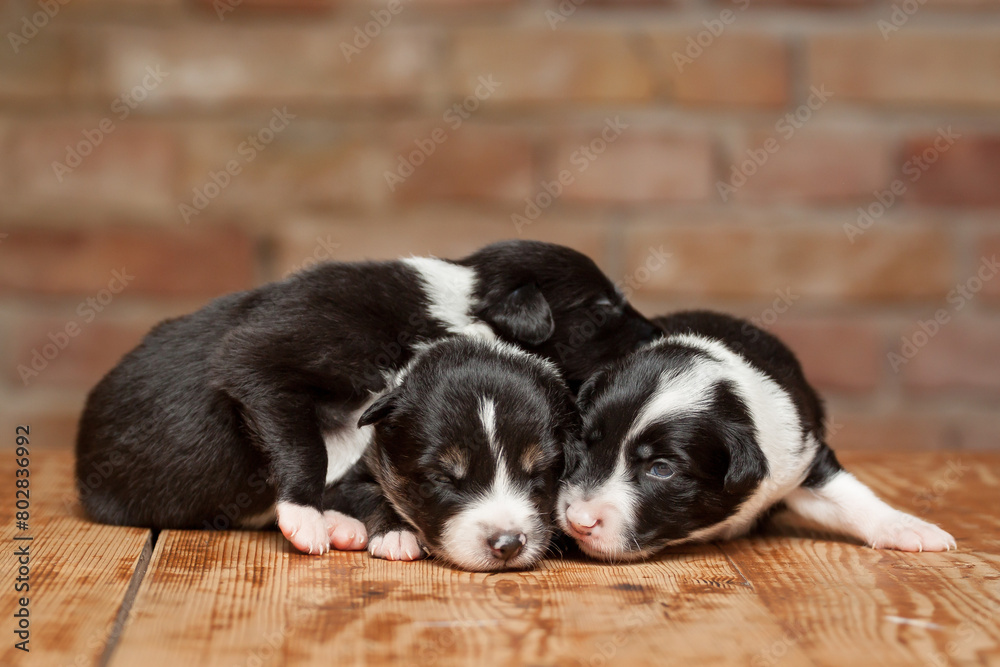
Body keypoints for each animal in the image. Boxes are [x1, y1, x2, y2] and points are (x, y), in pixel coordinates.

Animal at [326, 336, 580, 572]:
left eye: (539, 473)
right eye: (442, 478)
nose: (508, 544)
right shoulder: (363, 468)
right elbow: (371, 494)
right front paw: (396, 534)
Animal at [560, 310, 956, 560]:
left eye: (661, 469)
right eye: (585, 443)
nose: (578, 520)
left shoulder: (798, 453)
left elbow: (848, 494)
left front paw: (906, 527)